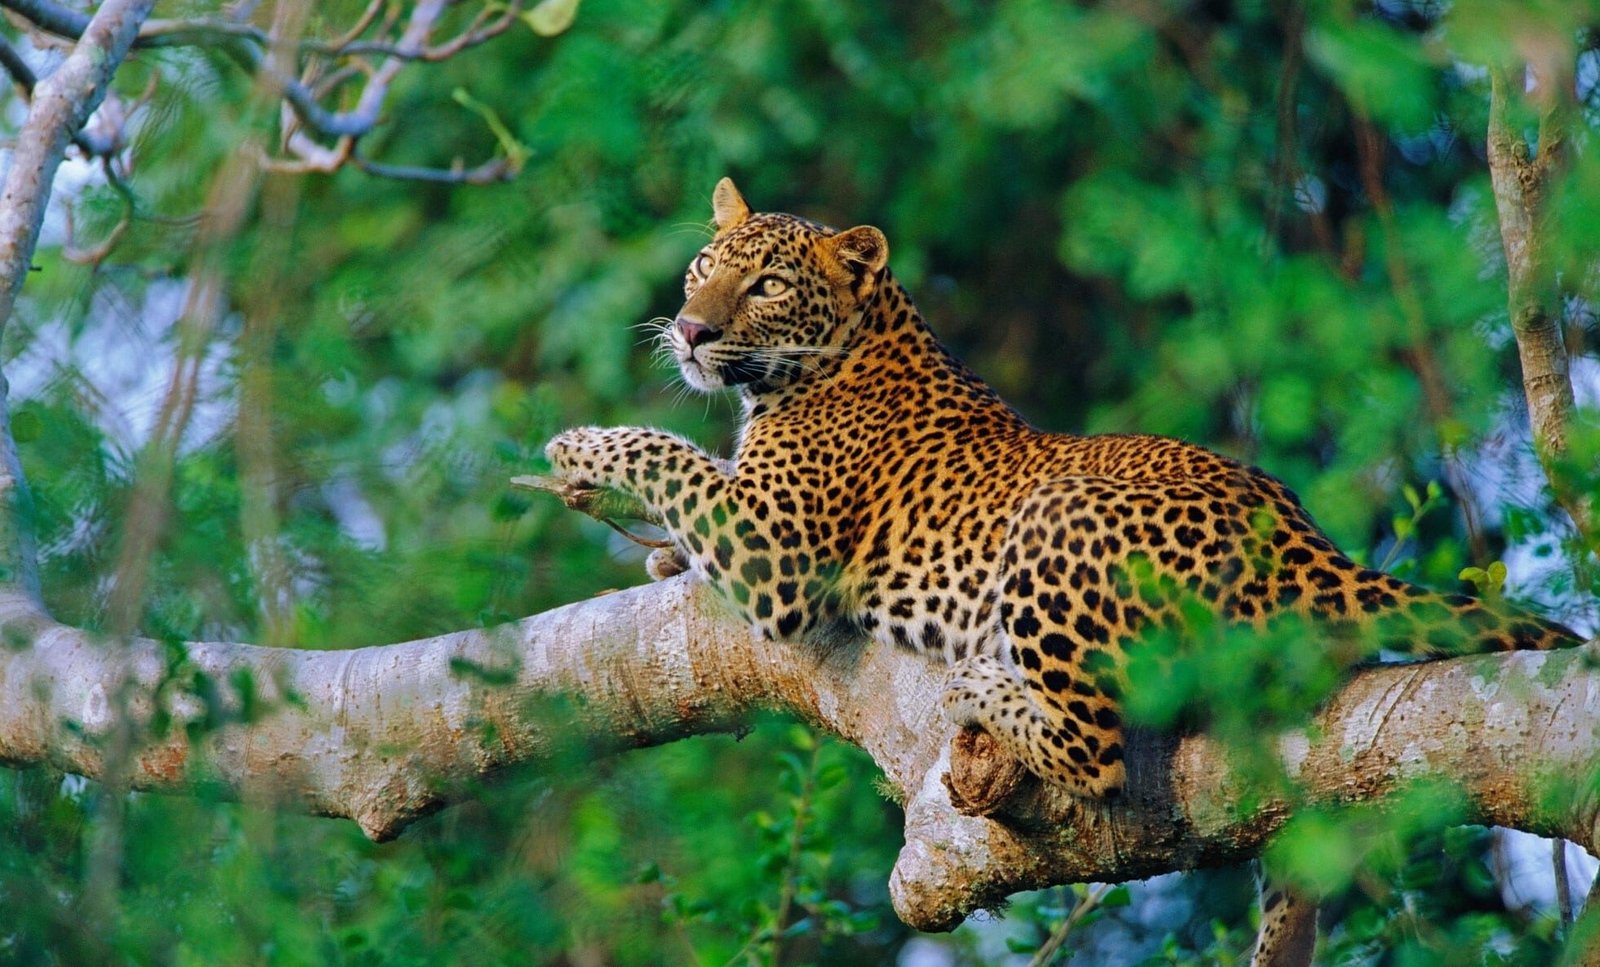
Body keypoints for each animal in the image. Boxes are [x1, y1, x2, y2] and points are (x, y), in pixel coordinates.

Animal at [544, 179, 1582, 962]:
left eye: (762, 285)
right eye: (702, 270)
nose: (687, 329)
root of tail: (1305, 542)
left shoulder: (775, 544)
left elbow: (672, 453)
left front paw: (581, 444)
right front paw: (660, 544)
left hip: (1052, 522)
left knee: (1098, 751)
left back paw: (984, 686)